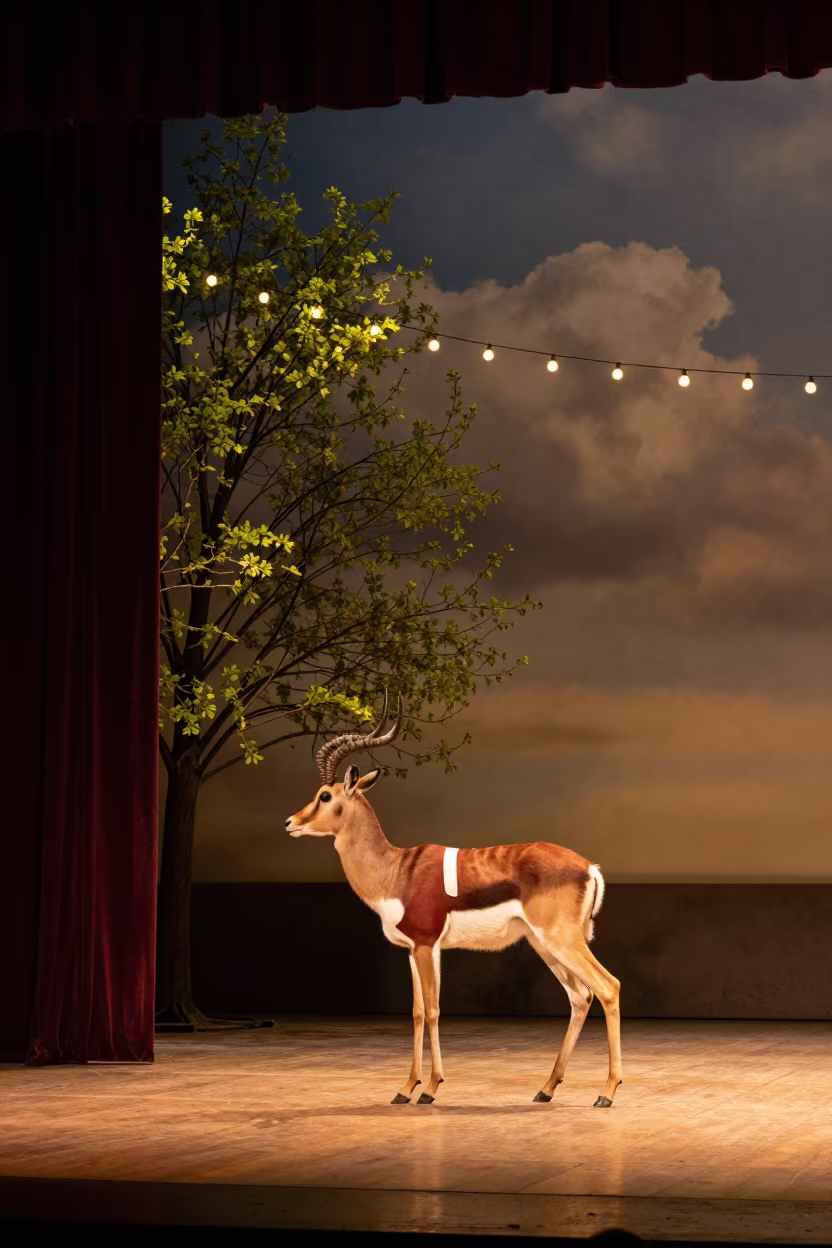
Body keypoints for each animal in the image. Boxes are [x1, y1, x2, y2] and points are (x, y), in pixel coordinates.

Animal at [286, 694, 622, 1108]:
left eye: (325, 795)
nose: (290, 822)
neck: (396, 871)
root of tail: (590, 867)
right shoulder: (412, 950)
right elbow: (416, 1012)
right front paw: (405, 1089)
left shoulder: (428, 946)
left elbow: (433, 1010)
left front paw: (430, 1089)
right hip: (543, 944)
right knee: (580, 996)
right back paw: (545, 1089)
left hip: (562, 940)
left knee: (608, 987)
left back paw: (606, 1093)